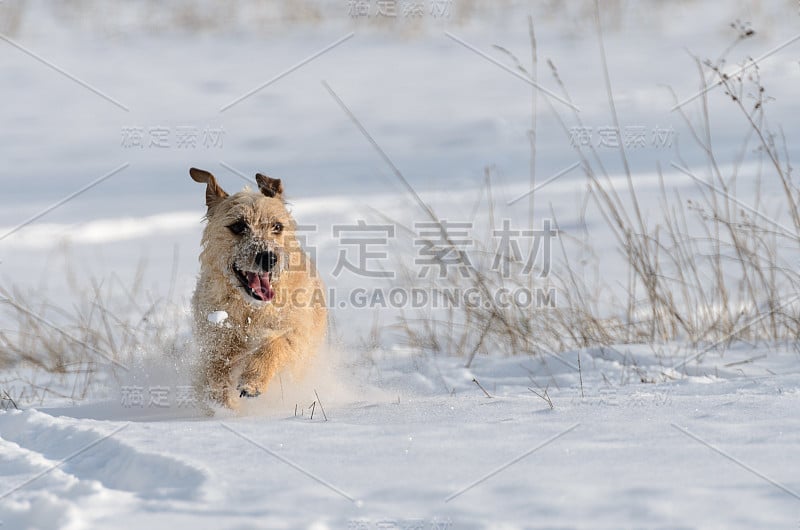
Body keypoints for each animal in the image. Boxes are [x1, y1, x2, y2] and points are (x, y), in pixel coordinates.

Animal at [189, 167, 326, 406]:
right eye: (238, 226)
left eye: (277, 226)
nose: (269, 258)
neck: (249, 310)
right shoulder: (215, 342)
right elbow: (215, 371)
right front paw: (222, 403)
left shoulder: (295, 332)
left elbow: (275, 345)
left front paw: (252, 382)